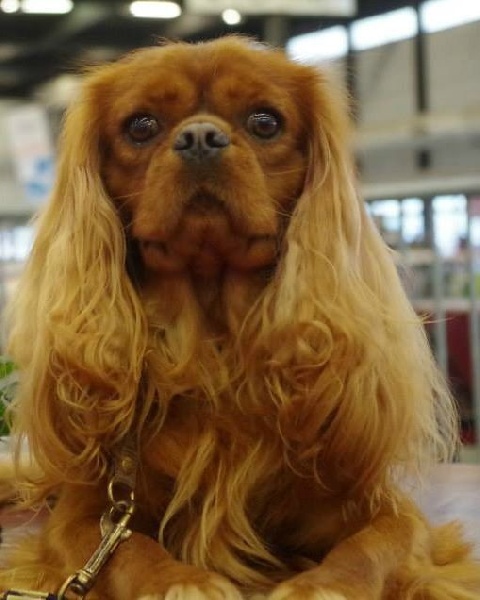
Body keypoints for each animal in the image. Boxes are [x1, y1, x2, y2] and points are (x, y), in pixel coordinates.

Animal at [0, 36, 479, 600]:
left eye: (265, 122)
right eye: (141, 126)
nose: (200, 137)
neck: (214, 346)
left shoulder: (386, 511)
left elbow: (373, 547)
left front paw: (320, 586)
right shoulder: (90, 514)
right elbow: (128, 551)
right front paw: (179, 582)